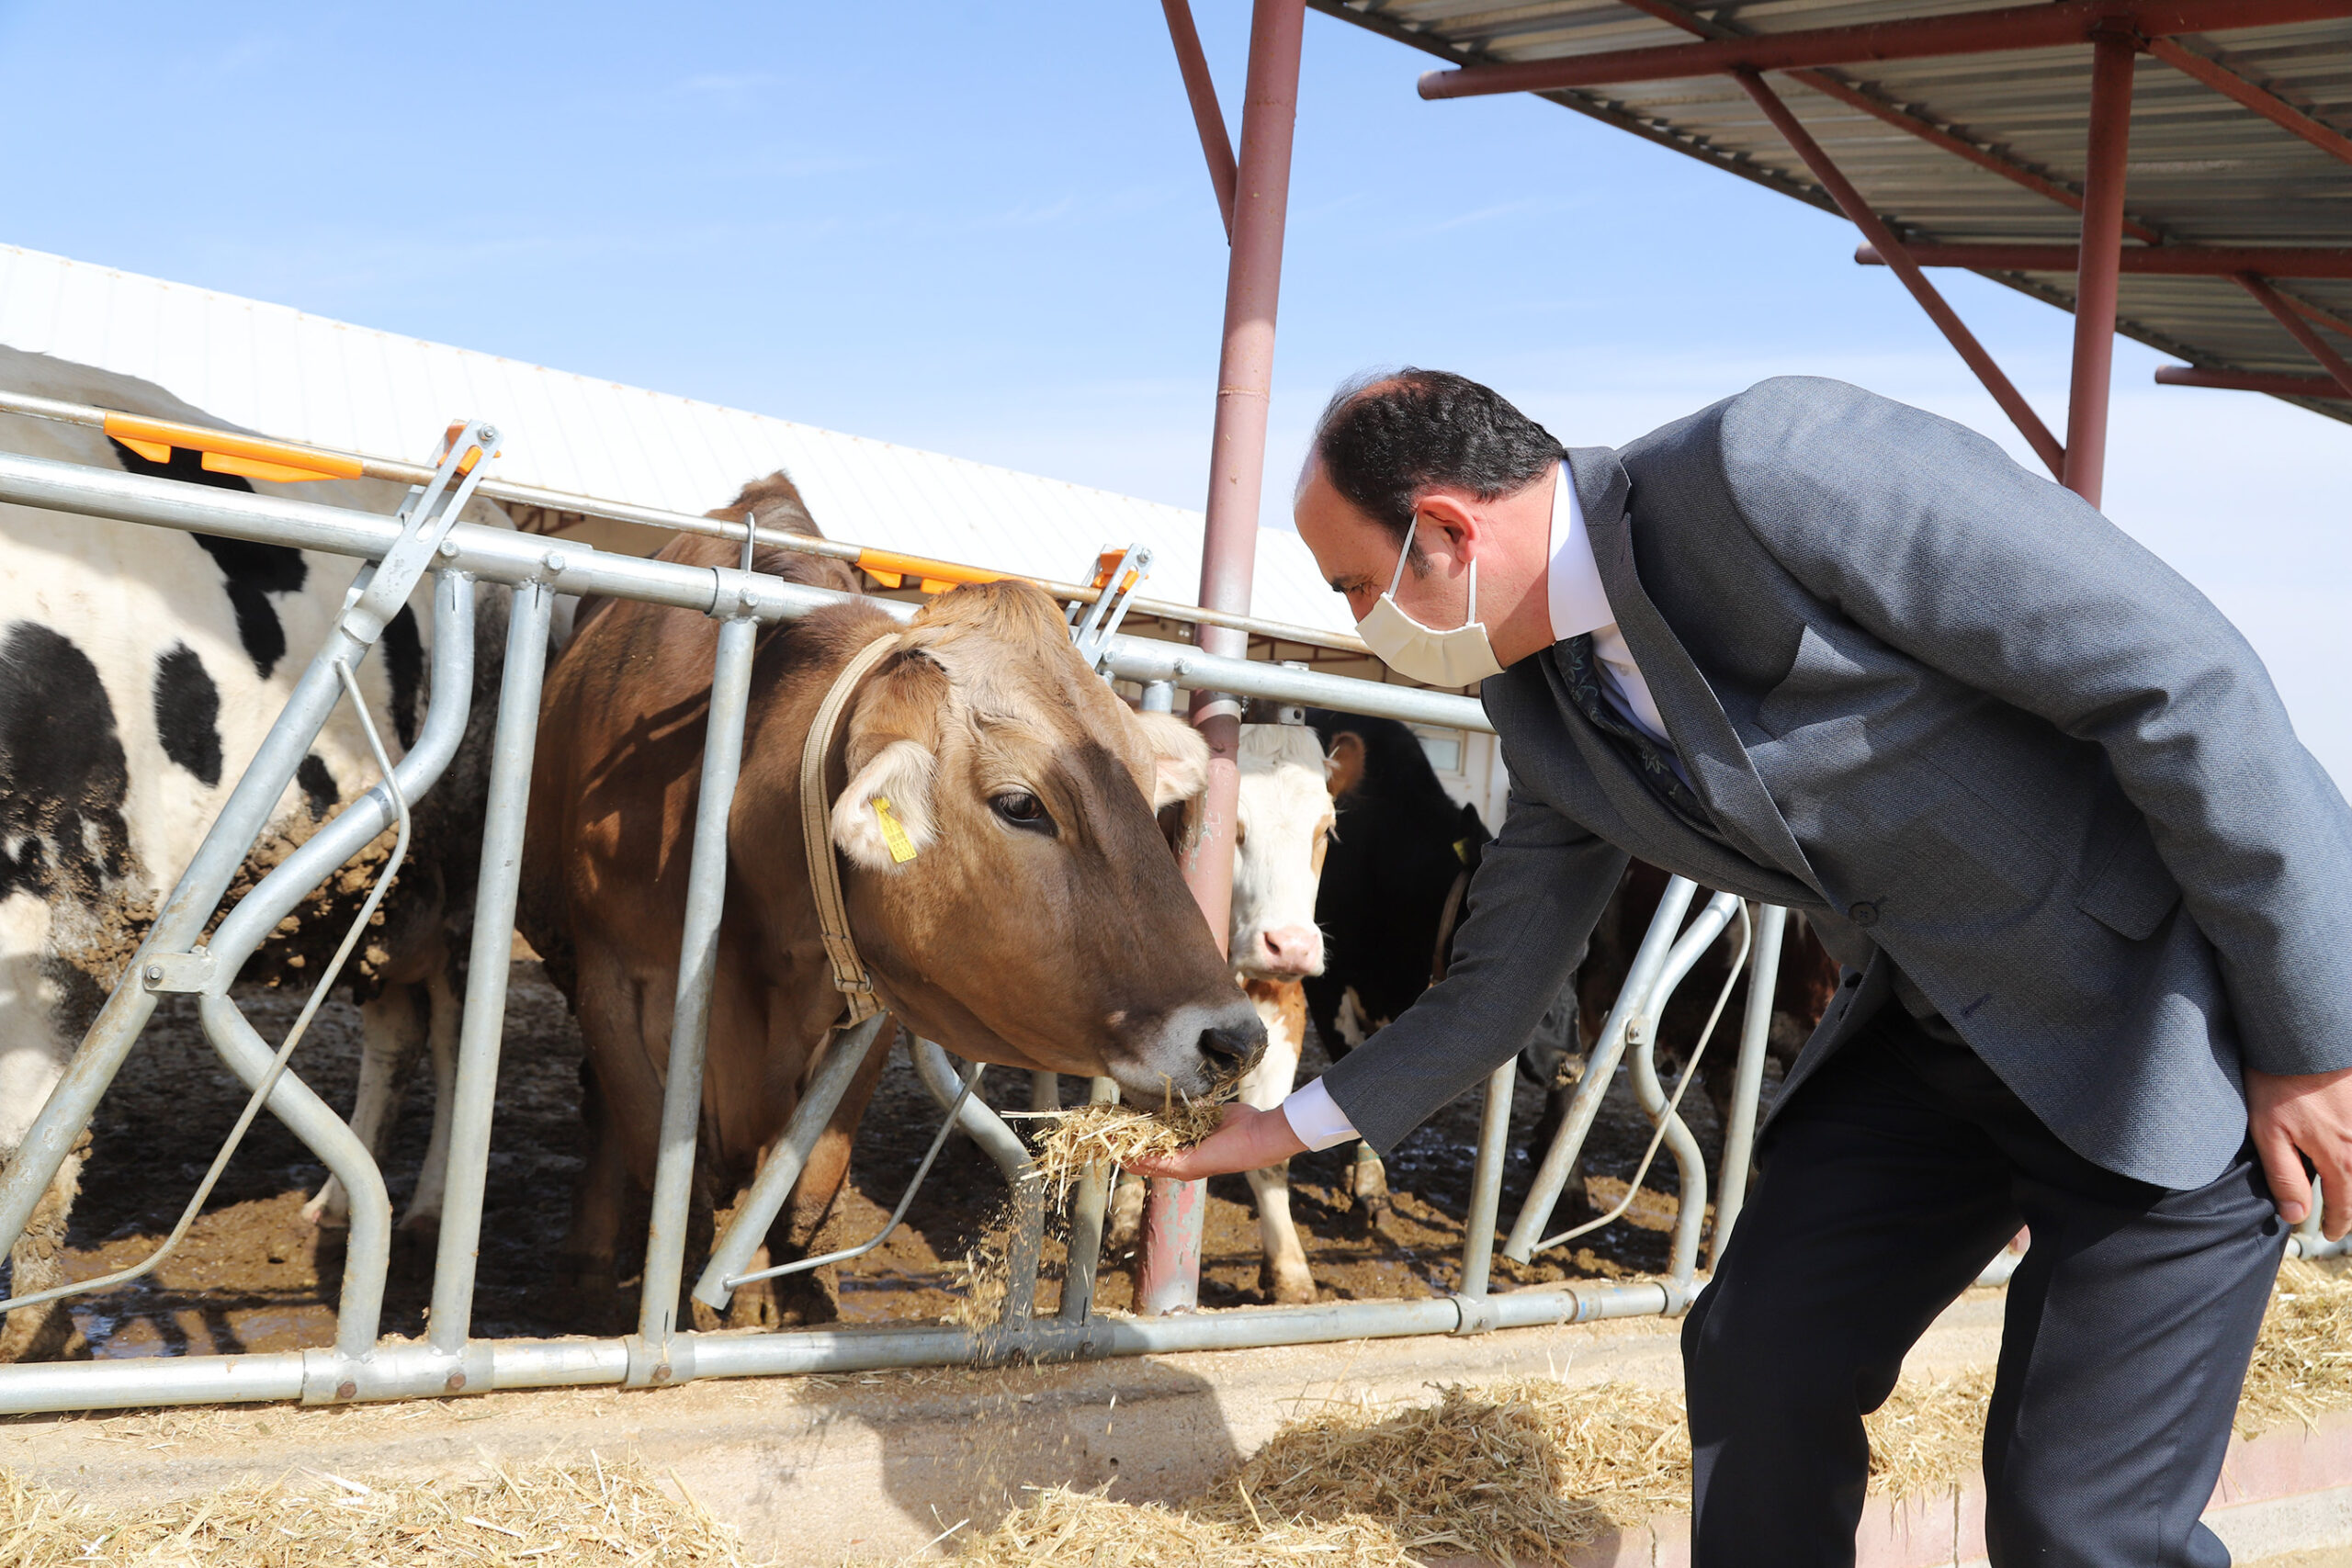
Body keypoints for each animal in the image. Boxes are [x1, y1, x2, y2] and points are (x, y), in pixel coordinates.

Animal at [0, 345, 514, 1363]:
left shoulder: (61, 894)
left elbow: (29, 1147)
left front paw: (27, 1331)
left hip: (467, 871)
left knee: (452, 1029)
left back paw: (429, 1210)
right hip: (377, 893)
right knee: (395, 1029)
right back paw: (337, 1205)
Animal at [524, 522, 1261, 1335]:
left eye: (1139, 782)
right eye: (1021, 804)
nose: (1236, 1040)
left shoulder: (868, 992)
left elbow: (803, 1178)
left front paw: (770, 1291)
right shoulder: (610, 980)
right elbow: (664, 1166)